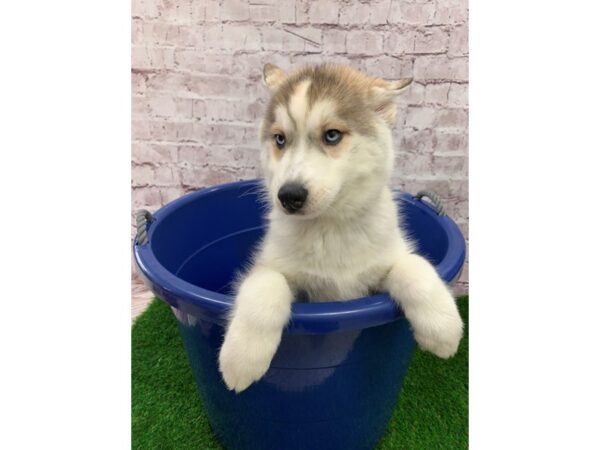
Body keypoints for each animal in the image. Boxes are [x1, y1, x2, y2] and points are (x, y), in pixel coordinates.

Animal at [218, 64, 462, 394]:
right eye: (280, 139)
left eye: (332, 135)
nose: (289, 196)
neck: (329, 227)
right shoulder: (274, 266)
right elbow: (266, 283)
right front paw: (241, 358)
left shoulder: (382, 265)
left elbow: (413, 266)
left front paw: (443, 329)